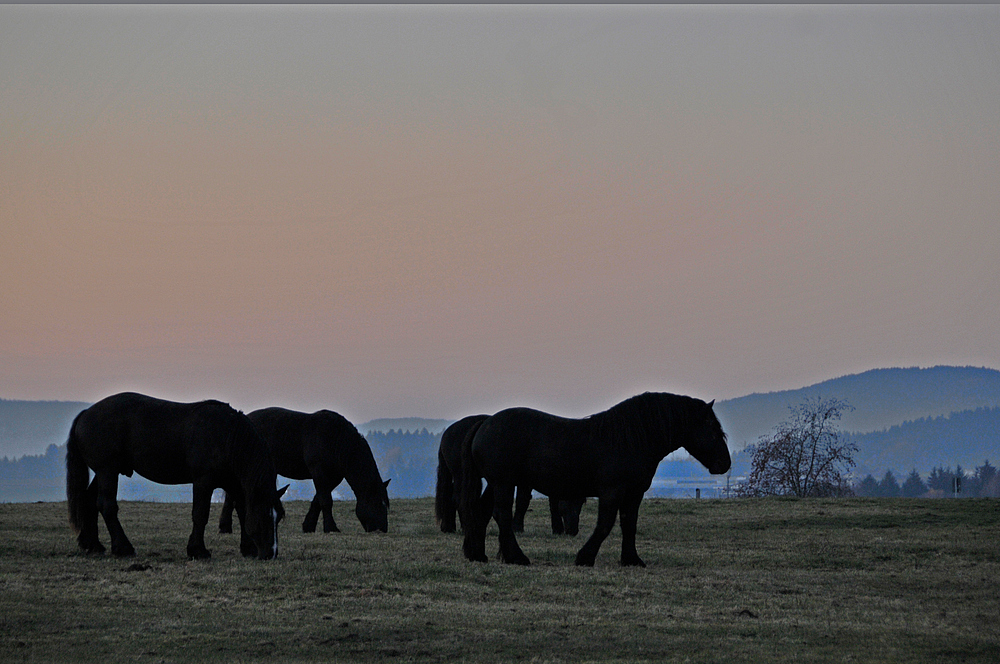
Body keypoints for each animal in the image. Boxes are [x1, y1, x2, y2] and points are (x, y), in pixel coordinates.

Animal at [66, 394, 286, 560]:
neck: (226, 436)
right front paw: (198, 550)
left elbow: (241, 511)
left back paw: (92, 545)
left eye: (279, 518)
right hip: (107, 471)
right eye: (265, 515)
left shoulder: (233, 482)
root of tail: (86, 414)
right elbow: (200, 514)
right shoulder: (203, 482)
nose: (271, 554)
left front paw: (248, 548)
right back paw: (123, 549)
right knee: (107, 505)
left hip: (104, 472)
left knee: (89, 501)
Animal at [220, 404, 390, 536]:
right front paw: (331, 528)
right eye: (378, 504)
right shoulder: (319, 472)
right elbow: (326, 500)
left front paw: (308, 526)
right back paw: (225, 528)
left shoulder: (333, 477)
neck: (336, 439)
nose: (382, 529)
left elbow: (318, 500)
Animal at [434, 418, 584, 536]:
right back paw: (465, 527)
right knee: (458, 498)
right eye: (572, 500)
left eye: (581, 502)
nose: (573, 531)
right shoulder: (525, 483)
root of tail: (447, 434)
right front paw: (517, 527)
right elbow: (523, 502)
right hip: (461, 474)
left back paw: (449, 527)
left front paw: (557, 528)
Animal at [458, 392, 728, 568]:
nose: (725, 464)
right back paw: (517, 557)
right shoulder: (612, 492)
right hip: (503, 483)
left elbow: (629, 524)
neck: (631, 440)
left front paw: (631, 559)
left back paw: (477, 554)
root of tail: (485, 423)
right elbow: (605, 525)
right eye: (713, 430)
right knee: (501, 515)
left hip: (496, 484)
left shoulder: (634, 494)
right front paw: (585, 557)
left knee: (482, 512)